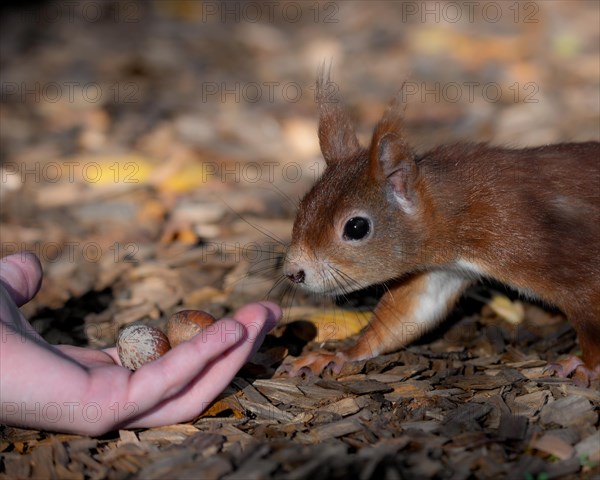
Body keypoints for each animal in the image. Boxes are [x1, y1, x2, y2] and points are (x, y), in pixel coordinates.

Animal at [284, 69, 600, 382]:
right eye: (302, 206)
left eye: (356, 228)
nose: (292, 273)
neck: (454, 209)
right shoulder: (442, 271)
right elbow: (406, 316)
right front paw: (337, 355)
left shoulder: (538, 241)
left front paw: (588, 366)